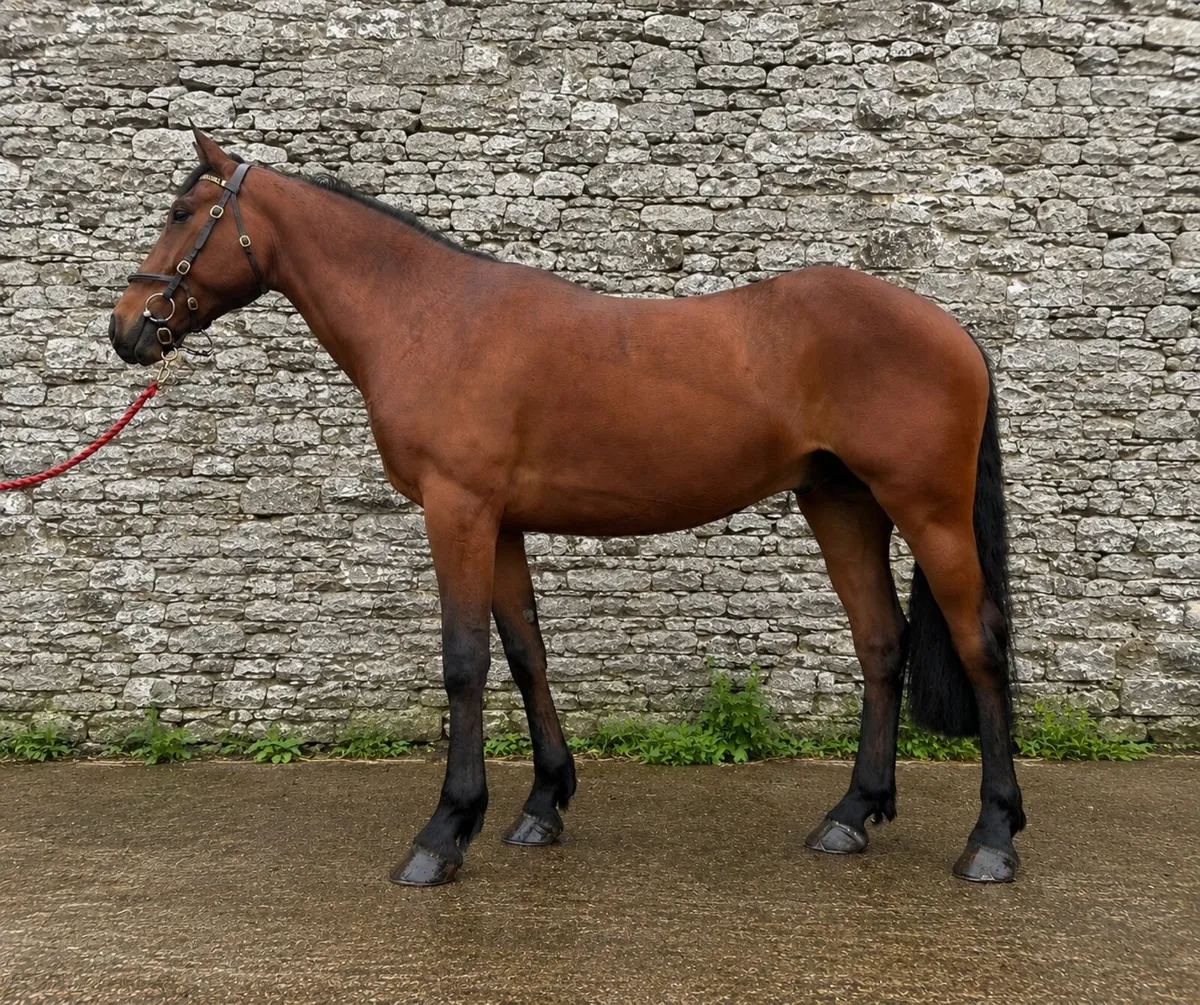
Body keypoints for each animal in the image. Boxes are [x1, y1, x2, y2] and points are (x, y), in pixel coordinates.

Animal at [109, 128, 1025, 887]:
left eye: (184, 213)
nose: (126, 329)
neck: (430, 319)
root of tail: (951, 330)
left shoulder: (458, 511)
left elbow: (465, 661)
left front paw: (444, 832)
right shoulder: (502, 523)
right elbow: (526, 654)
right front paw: (542, 804)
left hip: (929, 510)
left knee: (979, 644)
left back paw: (992, 837)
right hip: (841, 504)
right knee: (881, 643)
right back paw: (850, 815)